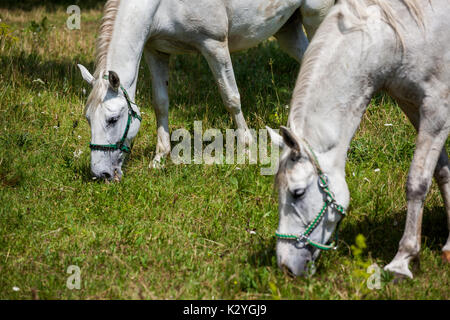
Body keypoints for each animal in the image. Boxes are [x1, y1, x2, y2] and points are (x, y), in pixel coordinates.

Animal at [79, 0, 336, 180]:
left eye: (113, 119)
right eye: (88, 119)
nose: (100, 173)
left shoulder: (214, 45)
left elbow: (231, 97)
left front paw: (247, 149)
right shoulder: (156, 51)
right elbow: (160, 103)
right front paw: (160, 157)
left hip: (316, 17)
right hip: (287, 29)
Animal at [268, 0, 448, 278]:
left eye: (297, 193)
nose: (286, 266)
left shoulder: (437, 110)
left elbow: (417, 182)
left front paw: (402, 260)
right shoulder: (413, 106)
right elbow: (442, 171)